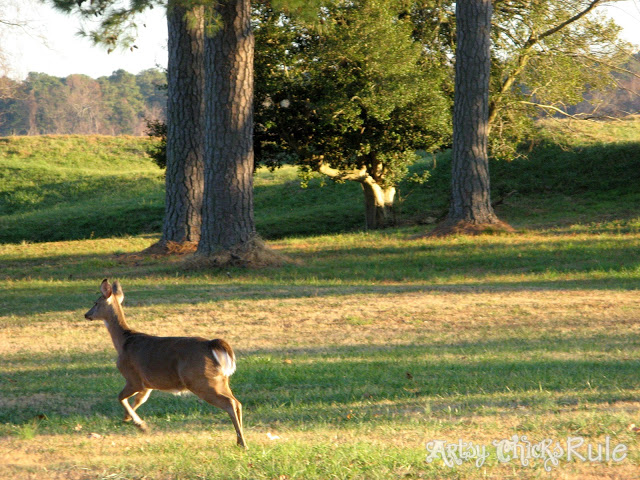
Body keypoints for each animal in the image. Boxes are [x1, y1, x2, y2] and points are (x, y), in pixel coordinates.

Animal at [84, 280, 246, 448]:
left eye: (96, 302)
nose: (86, 314)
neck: (123, 342)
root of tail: (212, 345)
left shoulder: (133, 377)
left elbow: (121, 397)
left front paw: (140, 424)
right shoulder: (148, 383)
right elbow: (139, 400)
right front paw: (129, 419)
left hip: (200, 380)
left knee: (229, 403)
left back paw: (242, 442)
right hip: (220, 380)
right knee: (237, 402)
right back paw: (239, 440)